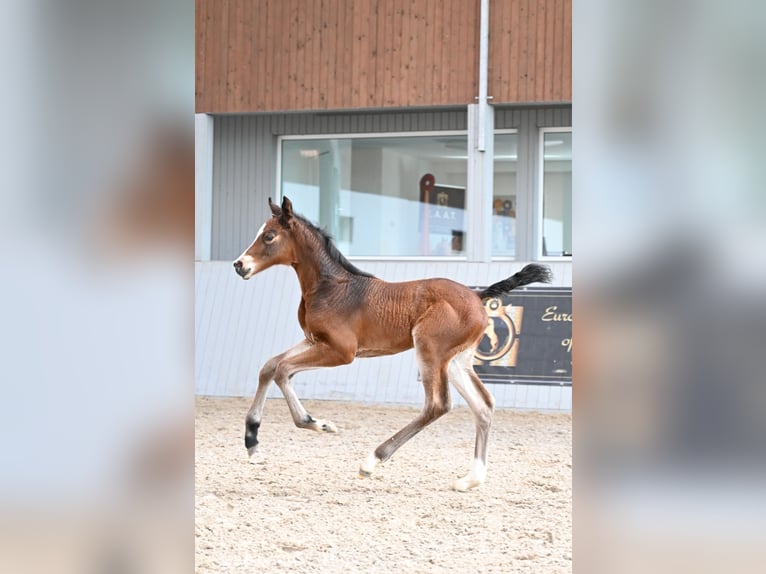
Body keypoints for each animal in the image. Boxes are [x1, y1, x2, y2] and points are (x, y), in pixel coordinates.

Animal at [234, 197, 552, 490]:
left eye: (269, 236)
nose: (239, 265)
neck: (332, 288)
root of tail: (478, 295)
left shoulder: (341, 351)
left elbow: (283, 370)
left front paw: (317, 423)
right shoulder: (314, 341)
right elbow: (269, 366)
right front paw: (252, 442)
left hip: (430, 350)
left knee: (438, 405)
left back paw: (371, 461)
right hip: (456, 362)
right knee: (483, 405)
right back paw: (470, 479)